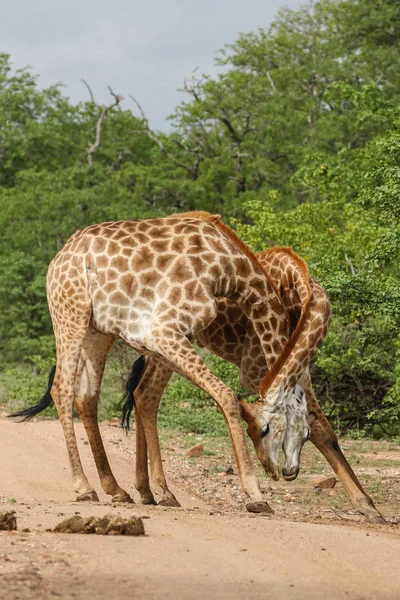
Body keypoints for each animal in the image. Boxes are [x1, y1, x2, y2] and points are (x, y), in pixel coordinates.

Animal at [10, 211, 312, 510]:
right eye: (265, 429)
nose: (282, 471)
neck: (229, 269)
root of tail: (57, 260)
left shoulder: (162, 339)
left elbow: (145, 396)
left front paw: (155, 490)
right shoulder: (163, 331)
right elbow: (226, 396)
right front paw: (255, 493)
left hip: (97, 330)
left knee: (87, 396)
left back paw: (115, 489)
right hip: (70, 313)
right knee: (62, 389)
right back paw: (84, 487)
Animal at [125, 246, 382, 524]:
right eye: (260, 431)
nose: (281, 471)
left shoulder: (301, 370)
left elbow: (325, 432)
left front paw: (369, 507)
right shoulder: (259, 364)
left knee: (139, 391)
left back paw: (146, 491)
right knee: (147, 393)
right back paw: (163, 492)